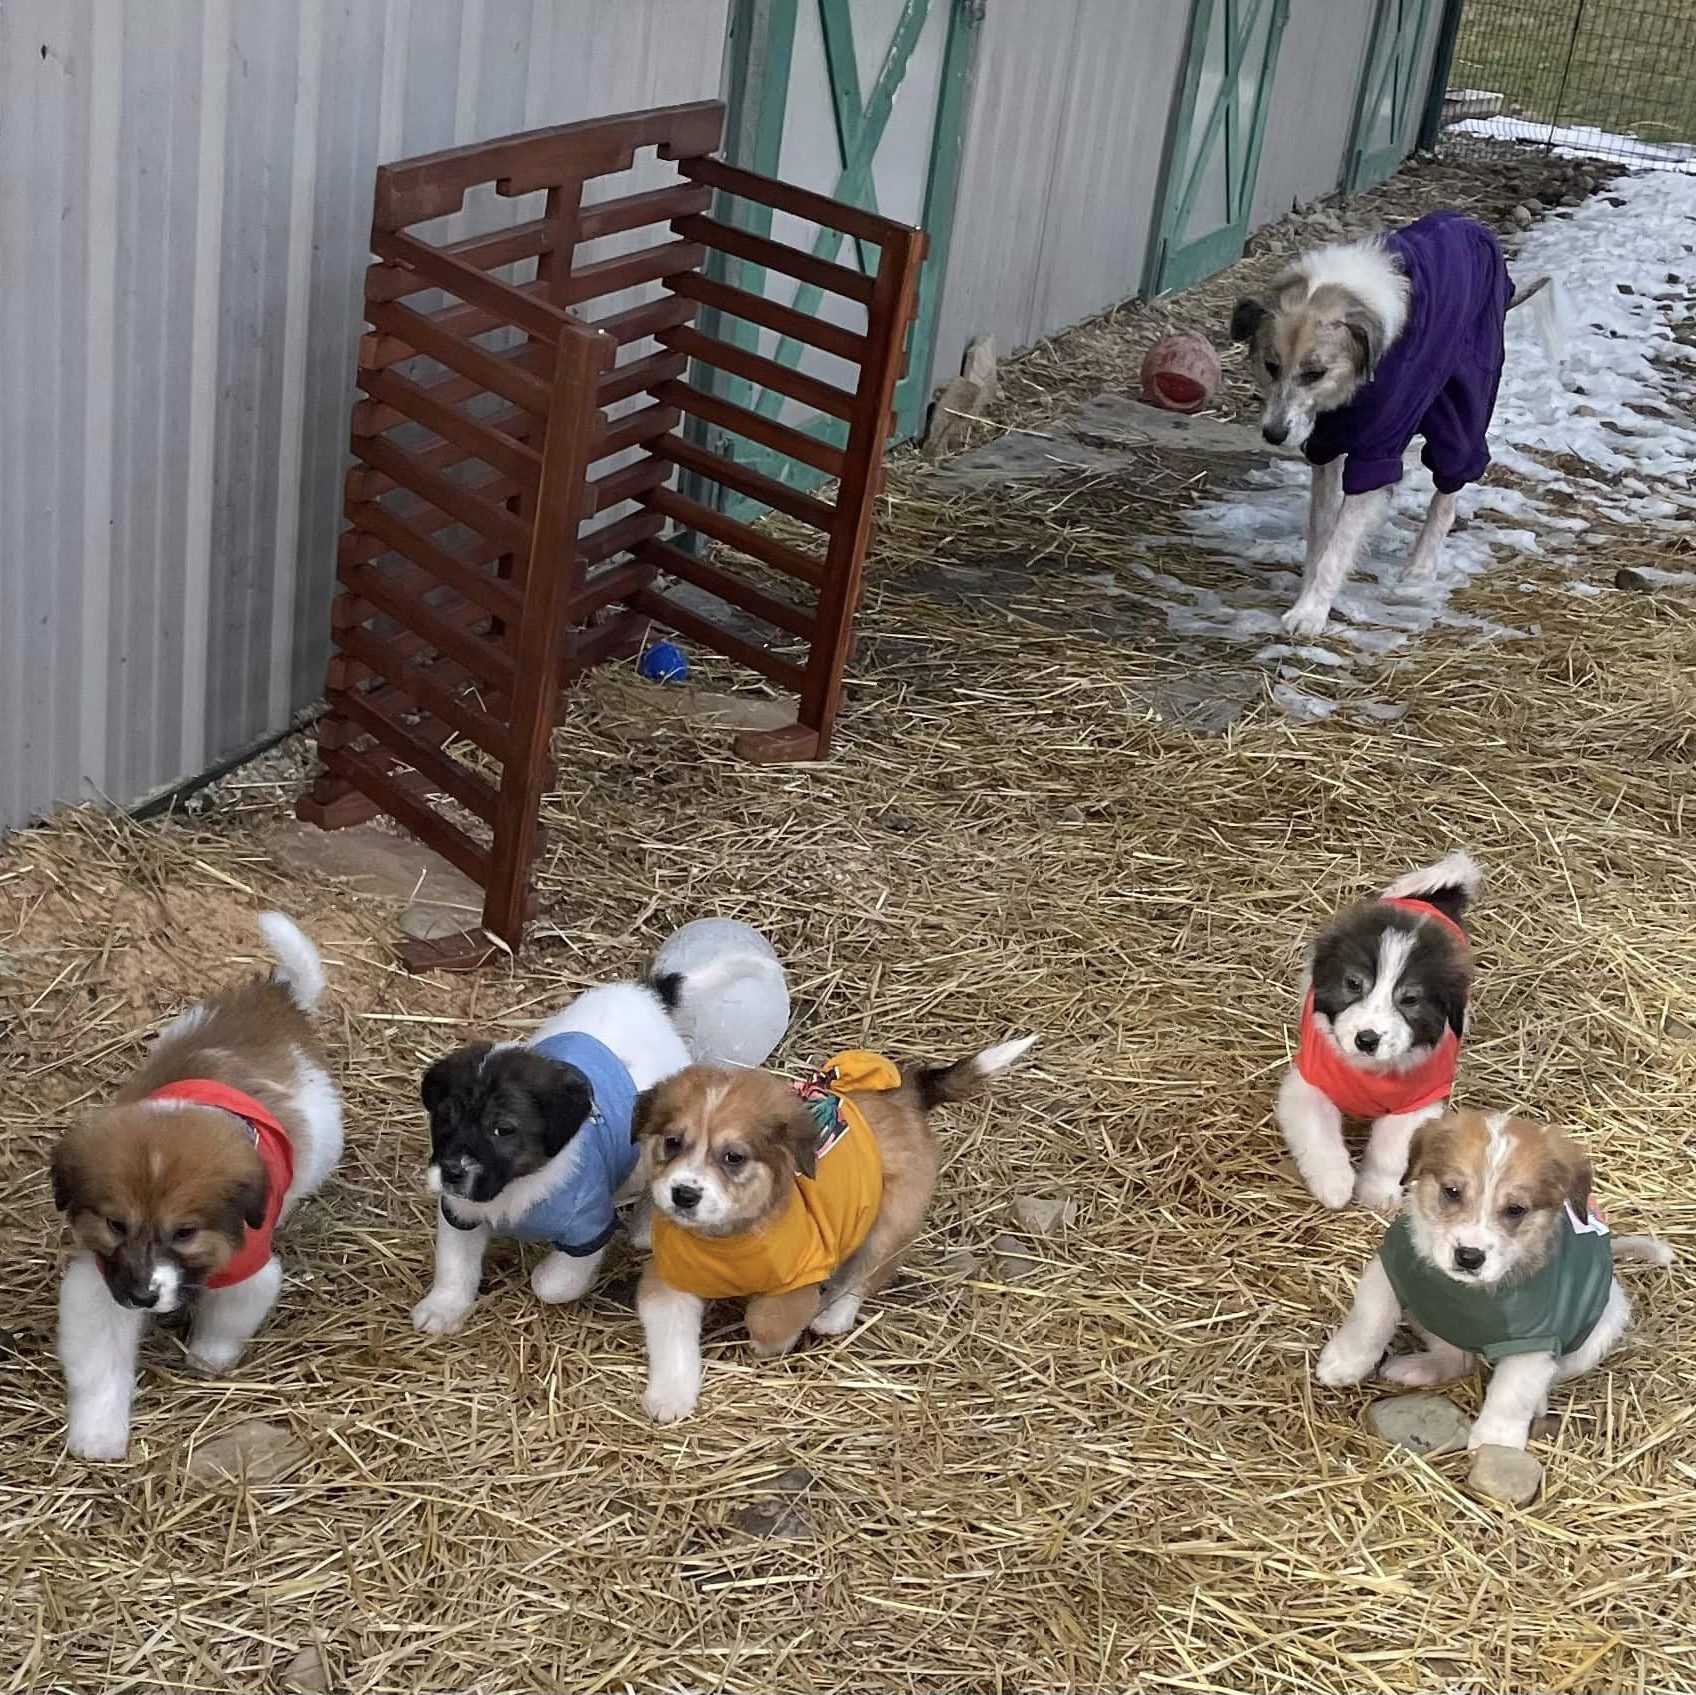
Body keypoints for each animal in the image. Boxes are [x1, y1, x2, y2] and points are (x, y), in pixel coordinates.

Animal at [50, 916, 340, 1459]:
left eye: (184, 1233)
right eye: (116, 1225)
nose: (143, 1296)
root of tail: (277, 996)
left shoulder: (250, 1269)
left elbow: (225, 1323)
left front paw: (208, 1358)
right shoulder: (101, 1283)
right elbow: (101, 1366)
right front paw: (98, 1435)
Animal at [410, 936, 786, 1330]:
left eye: (503, 1129)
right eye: (445, 1118)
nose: (452, 1172)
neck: (516, 1186)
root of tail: (646, 995)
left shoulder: (588, 1226)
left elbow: (554, 1283)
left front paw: (552, 1276)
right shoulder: (460, 1211)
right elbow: (454, 1267)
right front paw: (443, 1308)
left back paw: (643, 1228)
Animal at [634, 1031, 1031, 1418]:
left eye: (734, 1157)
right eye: (672, 1142)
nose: (684, 1194)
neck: (726, 1240)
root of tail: (908, 1092)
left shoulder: (800, 1278)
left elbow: (768, 1318)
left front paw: (769, 1342)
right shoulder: (669, 1280)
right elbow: (672, 1341)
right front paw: (670, 1397)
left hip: (892, 1220)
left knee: (863, 1275)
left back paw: (832, 1316)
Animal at [1275, 855, 1478, 1214]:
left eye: (1410, 999)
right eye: (1354, 984)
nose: (1366, 1039)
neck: (1368, 1072)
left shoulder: (1417, 1104)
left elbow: (1390, 1152)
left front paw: (1377, 1192)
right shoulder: (1309, 1084)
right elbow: (1320, 1135)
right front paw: (1335, 1184)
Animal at [1309, 1106, 1668, 1452]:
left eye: (1515, 1209)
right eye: (1452, 1191)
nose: (1469, 1256)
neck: (1470, 1293)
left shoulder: (1534, 1341)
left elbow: (1513, 1393)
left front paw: (1497, 1442)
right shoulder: (1390, 1270)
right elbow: (1369, 1322)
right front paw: (1343, 1364)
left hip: (1599, 1330)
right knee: (1455, 1357)